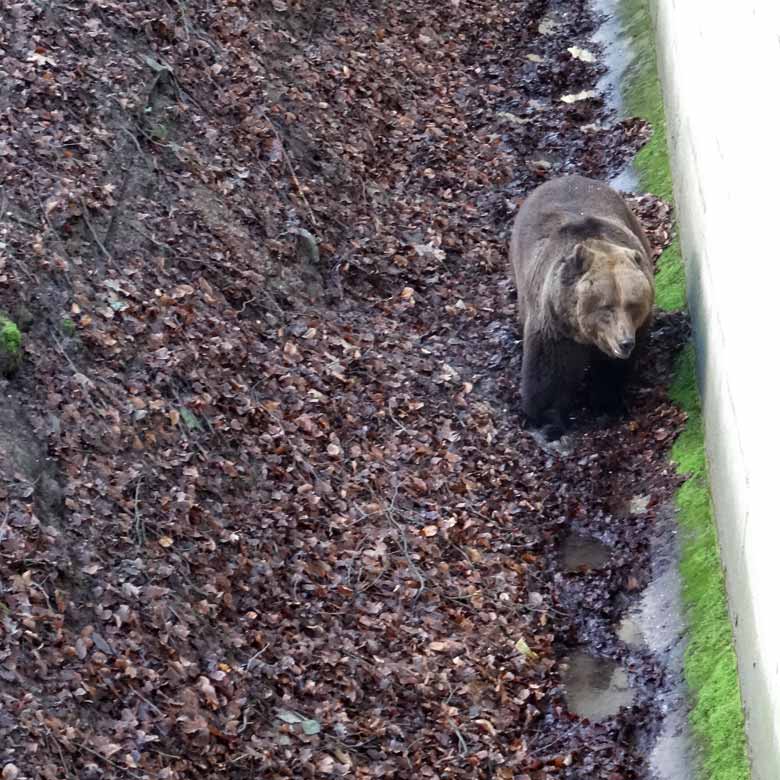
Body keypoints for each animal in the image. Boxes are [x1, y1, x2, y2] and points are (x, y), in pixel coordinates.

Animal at [508, 175, 656, 438]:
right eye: (606, 306)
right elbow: (548, 374)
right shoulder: (554, 325)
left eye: (632, 305)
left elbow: (611, 370)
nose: (625, 342)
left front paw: (606, 402)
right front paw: (547, 419)